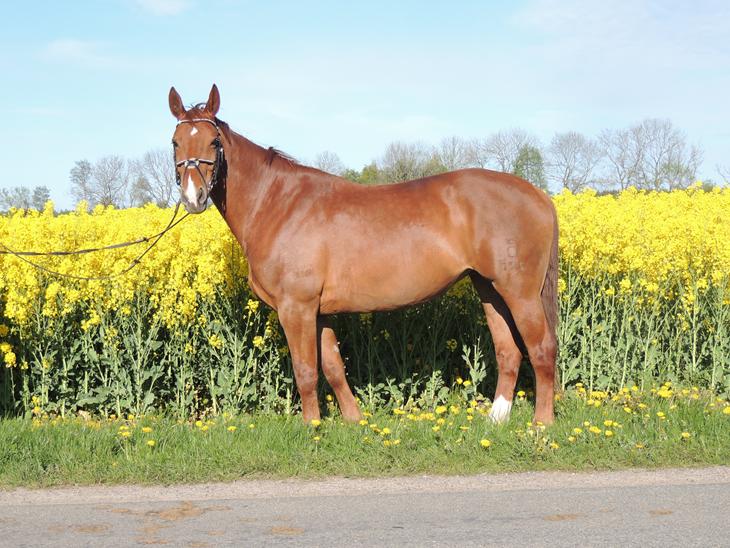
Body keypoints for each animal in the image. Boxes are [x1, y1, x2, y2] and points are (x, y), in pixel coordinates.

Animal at [169, 84, 559, 425]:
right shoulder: (319, 312)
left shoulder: (297, 307)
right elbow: (333, 368)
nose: (193, 196)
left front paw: (311, 428)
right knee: (509, 351)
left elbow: (306, 371)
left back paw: (542, 423)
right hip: (489, 290)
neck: (278, 203)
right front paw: (353, 421)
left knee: (542, 349)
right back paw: (497, 418)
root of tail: (538, 195)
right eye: (175, 141)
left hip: (520, 293)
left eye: (214, 141)